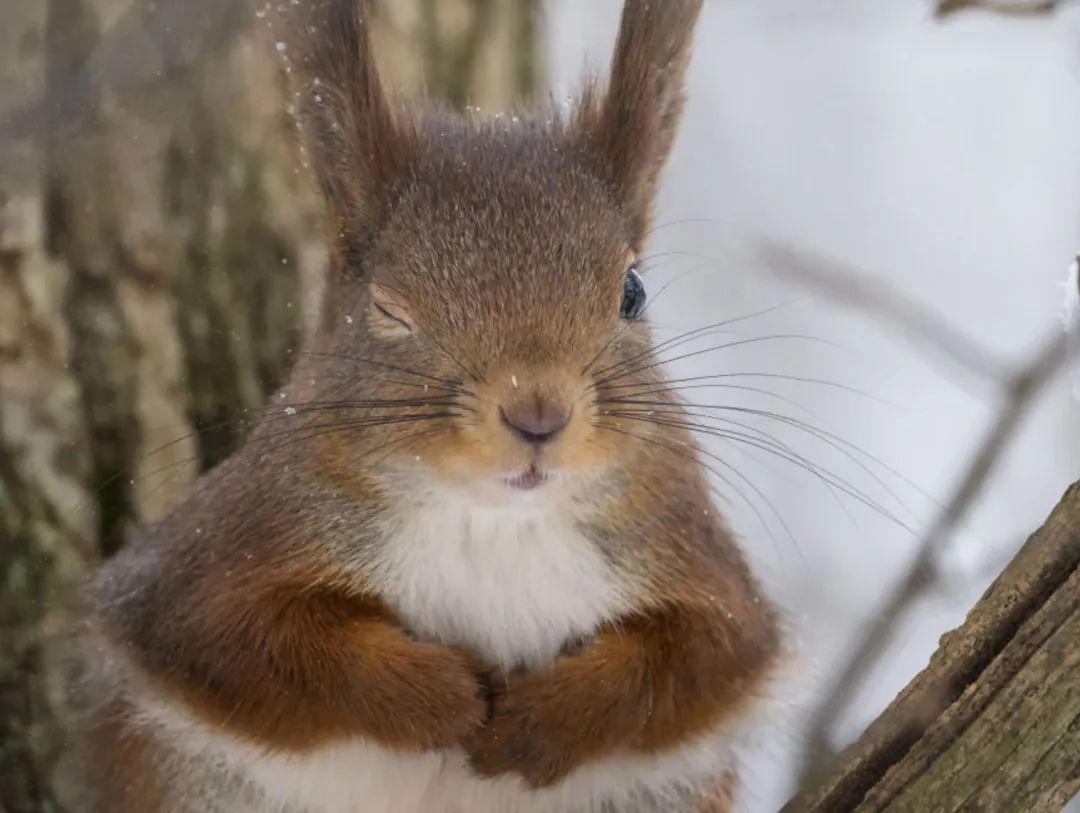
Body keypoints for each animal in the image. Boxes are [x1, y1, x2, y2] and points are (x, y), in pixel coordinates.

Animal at [79, 1, 781, 811]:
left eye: (632, 291)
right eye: (389, 308)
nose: (537, 414)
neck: (494, 522)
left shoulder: (694, 563)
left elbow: (691, 663)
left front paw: (538, 720)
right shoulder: (215, 562)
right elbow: (257, 645)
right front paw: (445, 697)